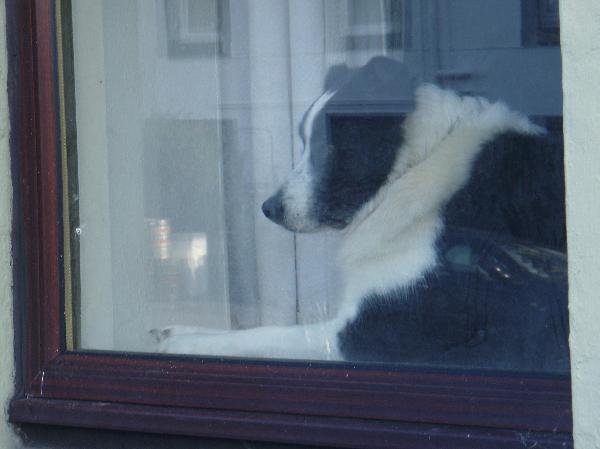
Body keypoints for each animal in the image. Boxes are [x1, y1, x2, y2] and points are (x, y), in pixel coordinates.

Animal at [155, 57, 568, 372]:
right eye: (303, 141)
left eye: (327, 147)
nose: (268, 208)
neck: (416, 166)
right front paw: (177, 330)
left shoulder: (376, 332)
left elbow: (265, 335)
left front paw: (181, 345)